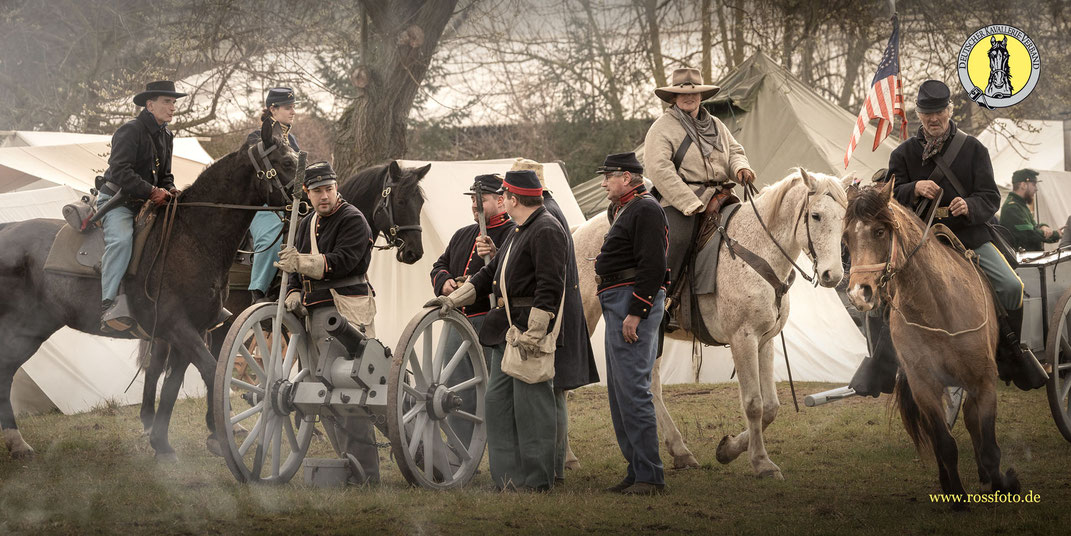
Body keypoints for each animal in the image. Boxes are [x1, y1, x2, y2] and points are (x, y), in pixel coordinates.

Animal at [0, 120, 295, 460]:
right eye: (287, 163)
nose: (308, 203)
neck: (193, 237)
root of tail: (7, 229)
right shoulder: (179, 327)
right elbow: (212, 372)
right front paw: (221, 435)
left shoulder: (192, 331)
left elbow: (172, 385)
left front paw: (162, 443)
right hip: (22, 328)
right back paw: (16, 441)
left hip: (34, 329)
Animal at [574, 168, 848, 478]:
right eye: (816, 215)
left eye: (844, 216)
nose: (833, 275)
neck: (756, 250)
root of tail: (576, 232)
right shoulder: (743, 338)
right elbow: (753, 403)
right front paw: (761, 462)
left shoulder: (765, 340)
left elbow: (770, 407)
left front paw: (728, 449)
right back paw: (568, 459)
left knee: (651, 386)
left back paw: (680, 451)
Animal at [843, 180, 1019, 505]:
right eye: (846, 237)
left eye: (880, 231)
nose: (859, 294)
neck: (937, 306)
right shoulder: (924, 386)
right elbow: (944, 444)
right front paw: (957, 495)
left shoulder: (984, 381)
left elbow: (989, 447)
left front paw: (1003, 482)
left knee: (972, 421)